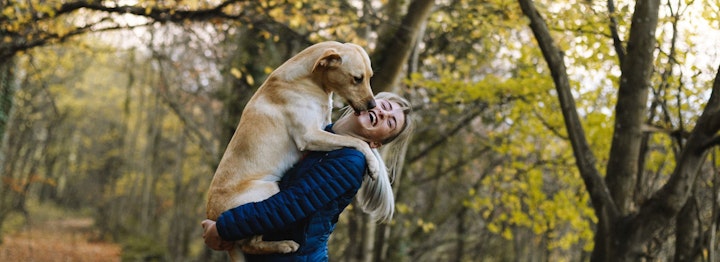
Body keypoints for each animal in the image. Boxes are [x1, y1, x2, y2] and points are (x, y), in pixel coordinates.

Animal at [204, 41, 380, 260]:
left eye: (370, 77)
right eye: (357, 79)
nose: (373, 106)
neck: (309, 80)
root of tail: (213, 216)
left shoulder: (323, 127)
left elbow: (351, 139)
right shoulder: (310, 135)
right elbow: (356, 141)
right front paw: (373, 165)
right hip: (267, 190)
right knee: (252, 244)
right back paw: (283, 245)